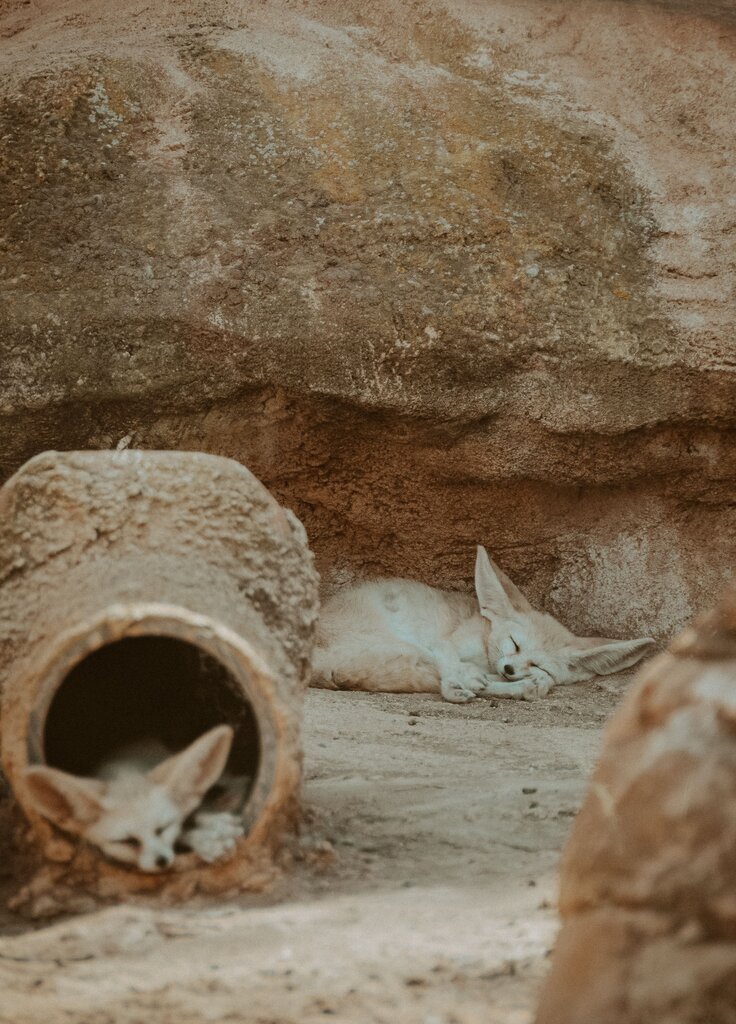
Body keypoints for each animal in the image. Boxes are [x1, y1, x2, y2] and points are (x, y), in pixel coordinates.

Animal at [23, 724, 245, 872]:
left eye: (162, 828)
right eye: (127, 841)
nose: (162, 861)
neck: (123, 769)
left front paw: (212, 827)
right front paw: (206, 836)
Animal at [312, 545, 656, 703]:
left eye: (537, 662)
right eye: (514, 643)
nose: (510, 668)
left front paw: (524, 681)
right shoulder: (442, 642)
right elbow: (449, 662)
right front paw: (460, 681)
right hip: (405, 644)